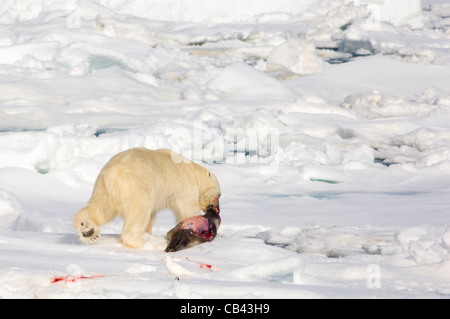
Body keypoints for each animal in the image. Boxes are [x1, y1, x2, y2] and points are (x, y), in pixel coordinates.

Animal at [74, 148, 221, 250]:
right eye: (219, 195)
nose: (217, 210)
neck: (193, 172)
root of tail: (113, 175)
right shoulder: (184, 185)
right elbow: (187, 209)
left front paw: (148, 233)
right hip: (136, 188)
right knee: (138, 215)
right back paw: (141, 243)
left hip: (104, 190)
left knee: (100, 210)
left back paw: (88, 231)